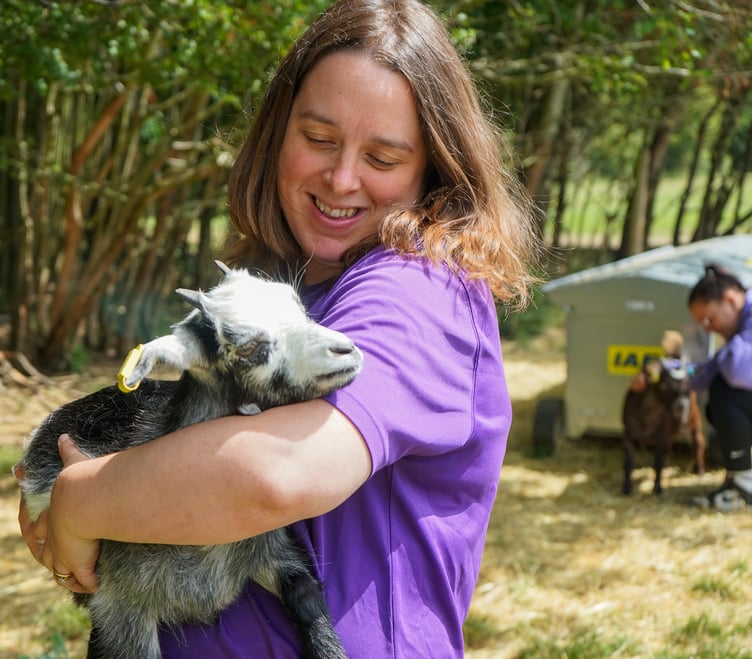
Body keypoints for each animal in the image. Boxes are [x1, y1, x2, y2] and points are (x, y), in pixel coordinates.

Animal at [20, 262, 360, 659]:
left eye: (298, 304)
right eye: (248, 347)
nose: (346, 351)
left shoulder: (275, 553)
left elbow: (308, 601)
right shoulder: (120, 609)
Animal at [622, 356, 706, 496]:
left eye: (688, 383)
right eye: (665, 383)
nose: (681, 407)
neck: (647, 416)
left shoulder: (662, 436)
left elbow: (658, 463)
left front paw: (658, 489)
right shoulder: (628, 434)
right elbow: (628, 462)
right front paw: (626, 489)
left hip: (695, 418)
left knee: (698, 442)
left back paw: (700, 471)